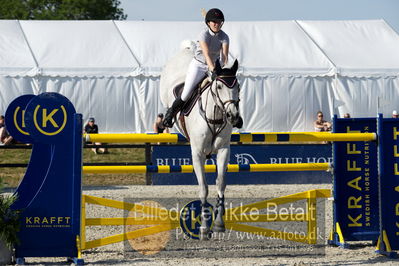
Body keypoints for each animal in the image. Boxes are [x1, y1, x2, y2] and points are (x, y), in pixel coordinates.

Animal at [159, 44, 241, 240]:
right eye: (219, 86)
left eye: (239, 87)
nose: (234, 117)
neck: (216, 115)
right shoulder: (197, 154)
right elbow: (203, 187)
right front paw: (204, 227)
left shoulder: (223, 151)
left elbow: (220, 182)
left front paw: (218, 223)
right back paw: (168, 116)